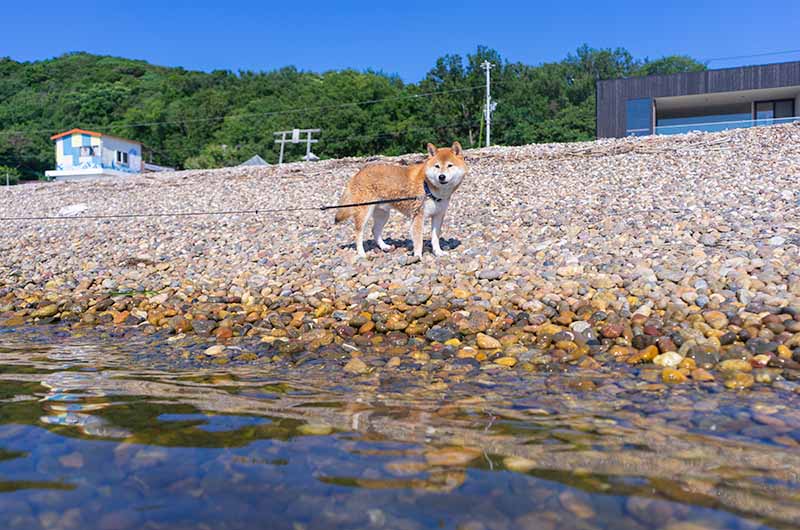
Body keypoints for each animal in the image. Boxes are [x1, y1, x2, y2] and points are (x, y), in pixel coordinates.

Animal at [332, 139, 468, 256]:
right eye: (437, 166)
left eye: (450, 165)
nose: (441, 177)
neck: (429, 188)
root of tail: (358, 173)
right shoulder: (418, 216)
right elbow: (418, 240)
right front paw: (418, 257)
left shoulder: (438, 215)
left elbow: (435, 238)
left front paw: (438, 252)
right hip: (364, 212)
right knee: (358, 233)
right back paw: (362, 254)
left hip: (383, 214)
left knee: (375, 230)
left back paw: (385, 247)